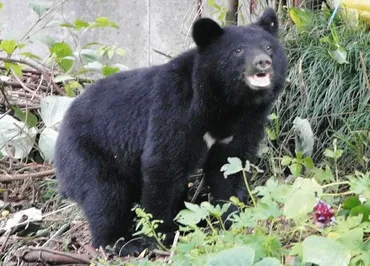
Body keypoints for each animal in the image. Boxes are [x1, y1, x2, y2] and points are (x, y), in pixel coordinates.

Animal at [54, 7, 286, 254]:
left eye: (269, 47)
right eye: (238, 50)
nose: (263, 62)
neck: (227, 105)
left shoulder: (245, 124)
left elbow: (230, 166)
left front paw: (230, 218)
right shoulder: (176, 111)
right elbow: (163, 166)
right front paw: (162, 235)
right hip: (88, 153)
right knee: (105, 196)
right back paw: (122, 243)